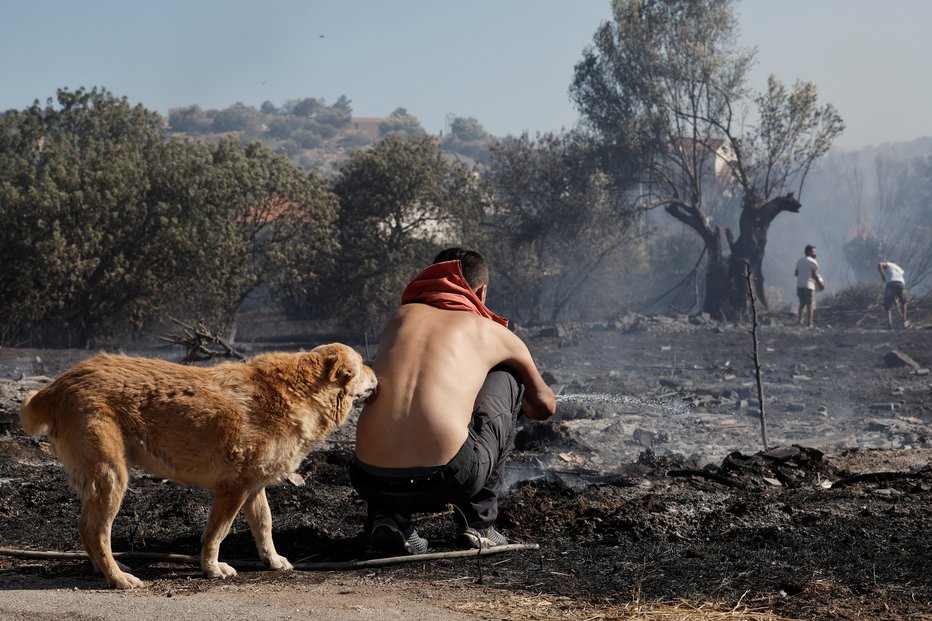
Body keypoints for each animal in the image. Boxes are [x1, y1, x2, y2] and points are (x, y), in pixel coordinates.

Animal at [17, 342, 374, 588]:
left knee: (83, 527)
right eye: (362, 363)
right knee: (96, 532)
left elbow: (265, 526)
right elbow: (217, 533)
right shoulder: (233, 490)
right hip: (112, 478)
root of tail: (57, 385)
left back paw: (103, 570)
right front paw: (212, 568)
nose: (378, 374)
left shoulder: (252, 488)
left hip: (99, 482)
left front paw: (272, 560)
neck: (300, 390)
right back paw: (117, 578)